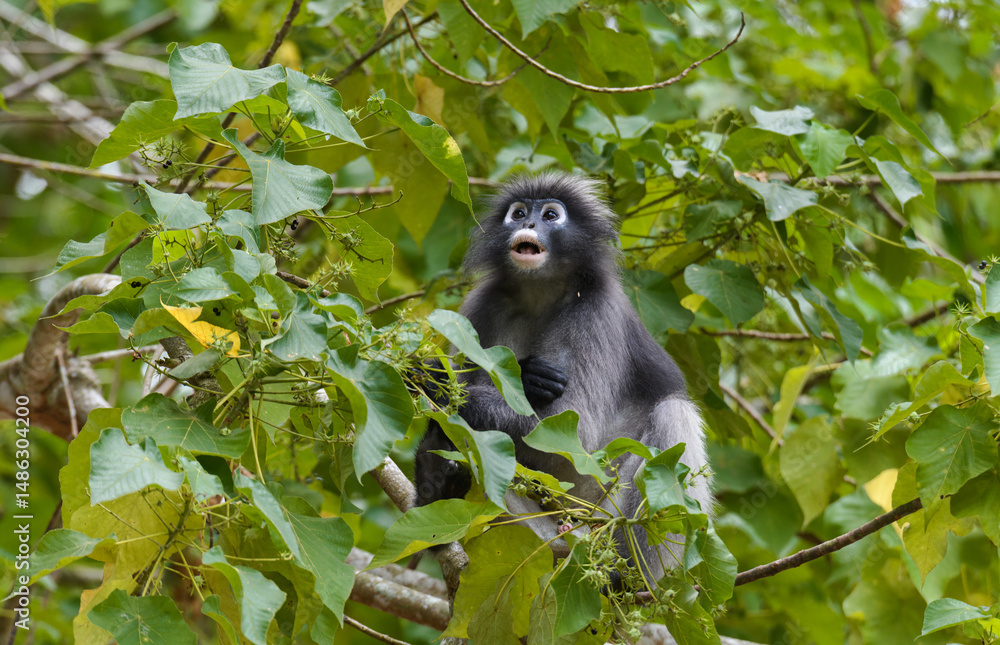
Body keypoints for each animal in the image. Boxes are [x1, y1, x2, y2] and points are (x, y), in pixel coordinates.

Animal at [413, 172, 711, 585]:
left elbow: (574, 435)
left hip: (602, 516)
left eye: (551, 215)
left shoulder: (593, 310)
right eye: (518, 213)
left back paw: (624, 574)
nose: (527, 224)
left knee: (673, 412)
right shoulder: (482, 305)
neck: (540, 293)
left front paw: (435, 379)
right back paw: (435, 480)